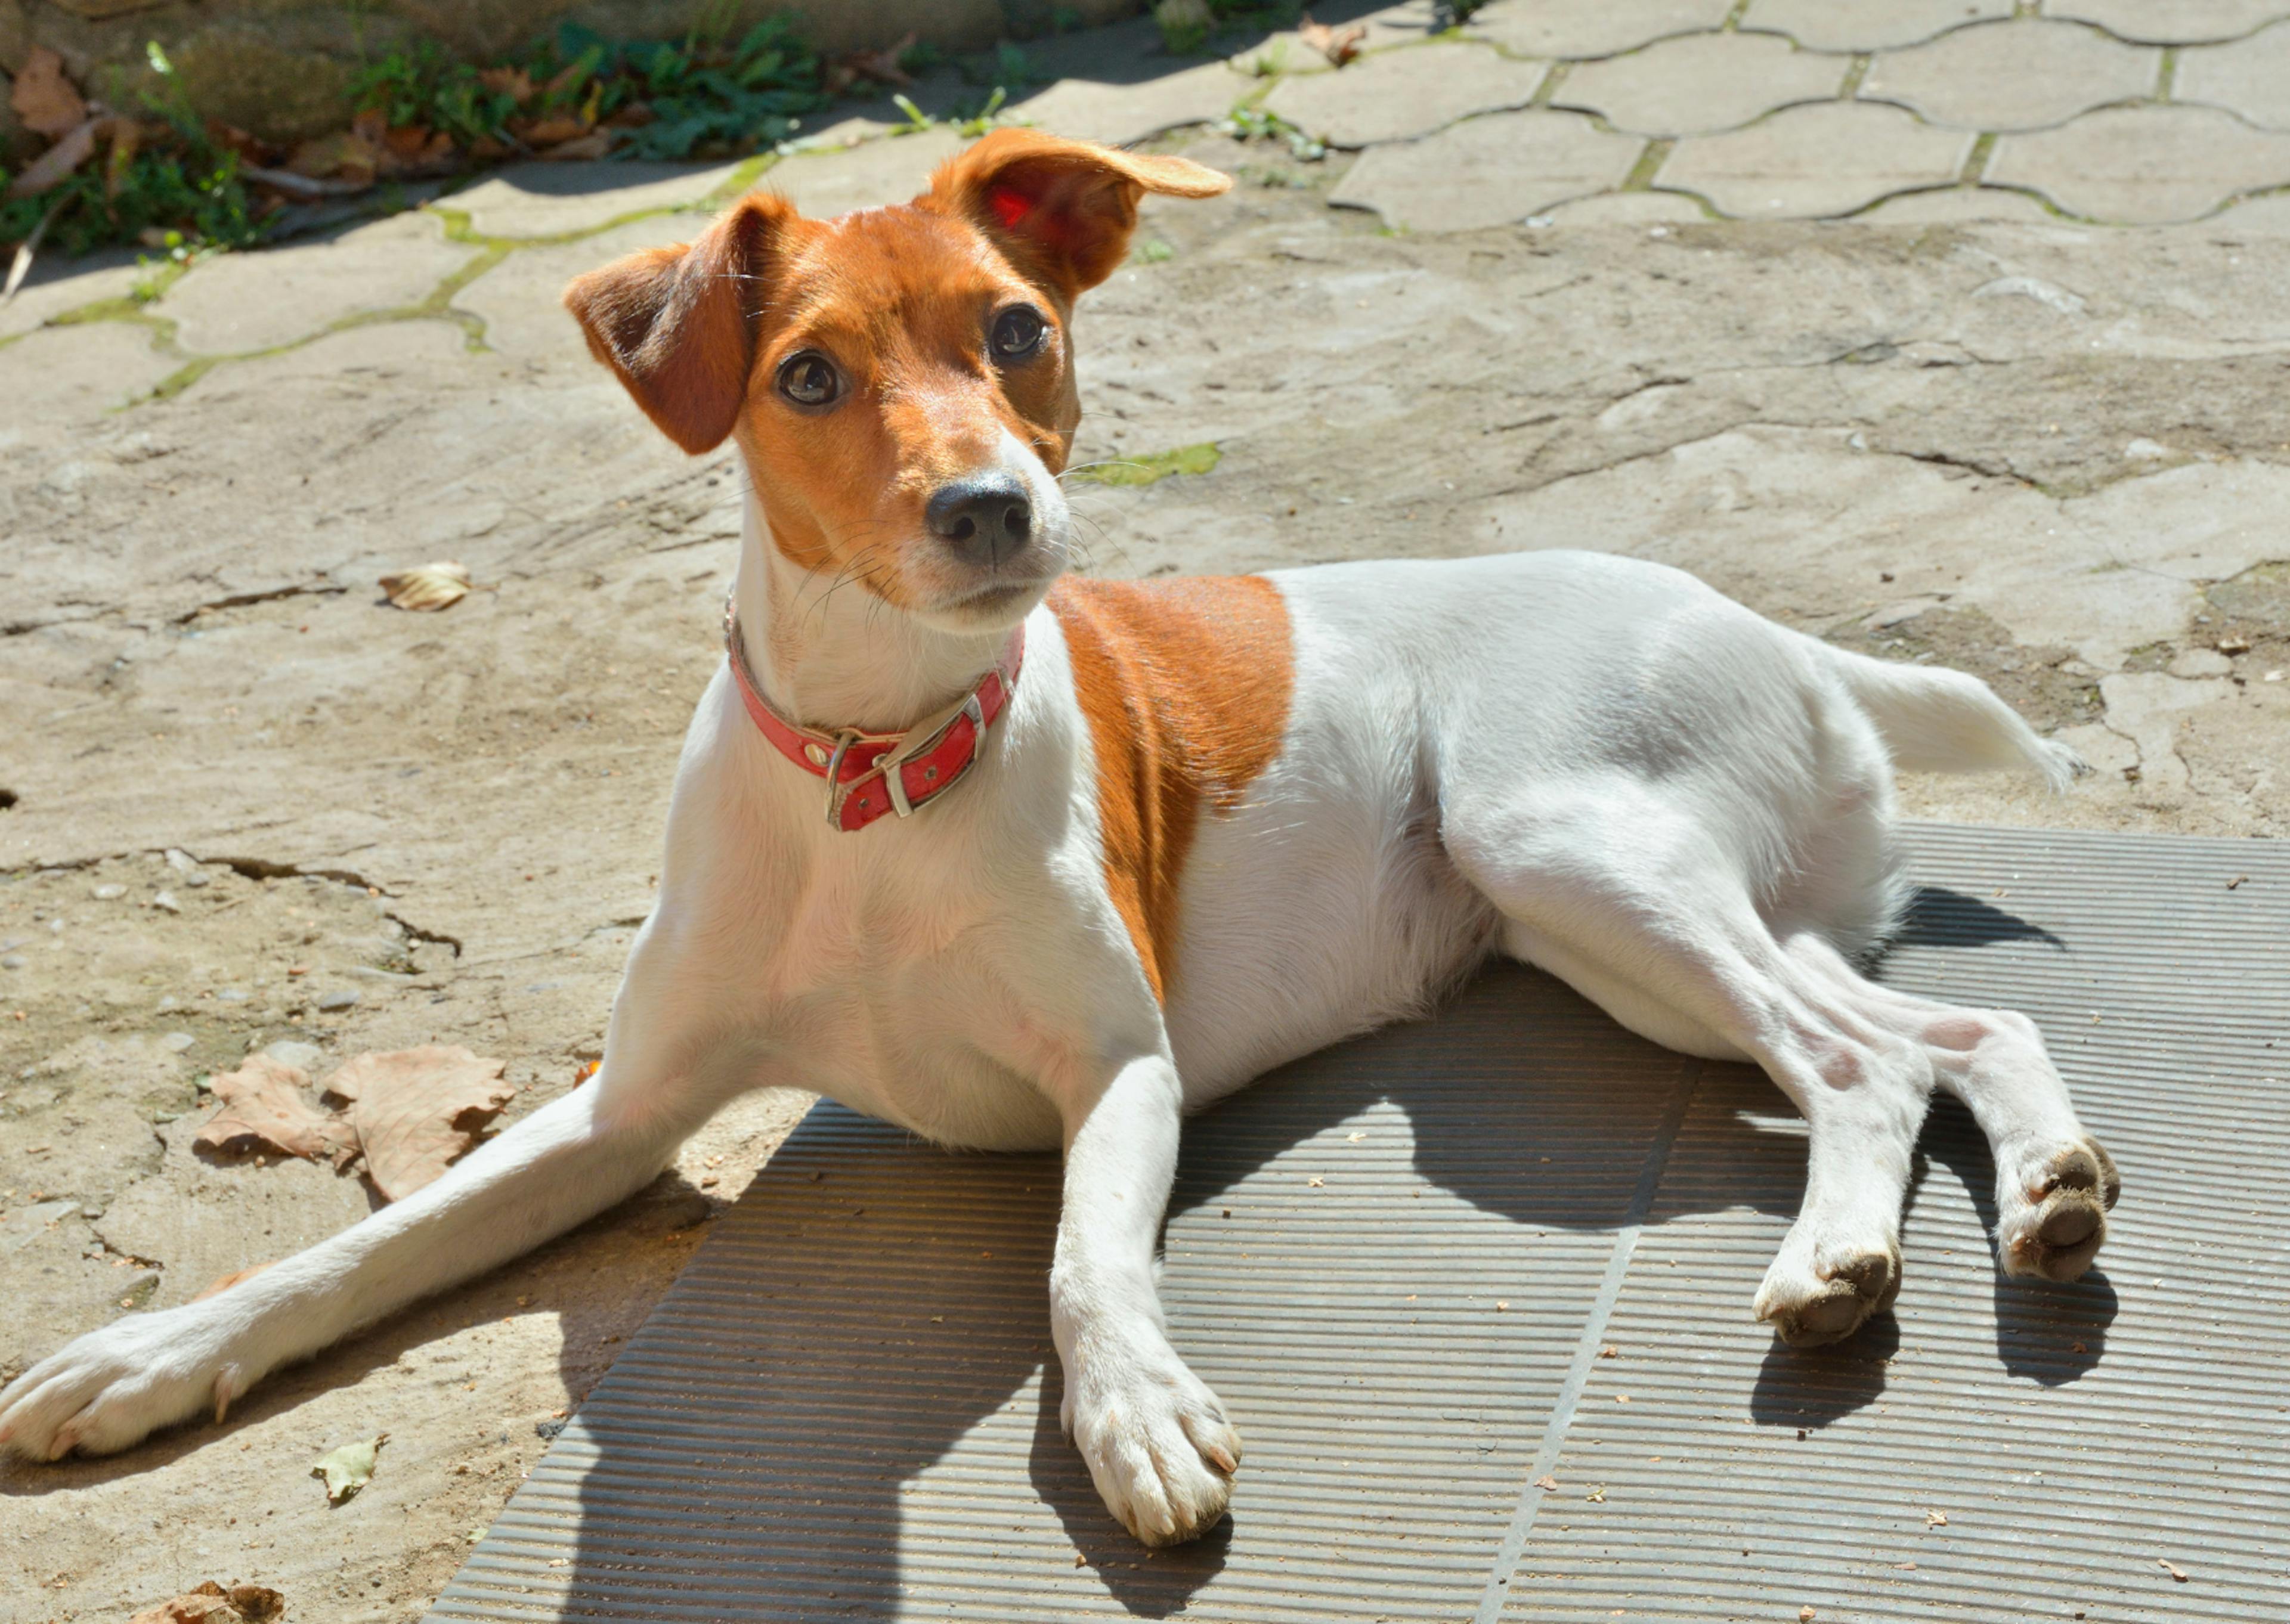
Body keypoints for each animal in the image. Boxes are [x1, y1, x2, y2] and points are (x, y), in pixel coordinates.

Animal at [0, 130, 2106, 1548]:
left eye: (1017, 330)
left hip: (1568, 853)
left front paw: (1133, 1416)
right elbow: (377, 1238)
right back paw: (2036, 1194)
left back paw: (1842, 1259)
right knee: (1945, 1034)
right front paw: (148, 1351)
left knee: (1854, 1064)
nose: (995, 511)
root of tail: (1784, 632)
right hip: (1629, 923)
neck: (871, 773)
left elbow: (1084, 1261)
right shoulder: (626, 1106)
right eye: (808, 375)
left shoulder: (1122, 1071)